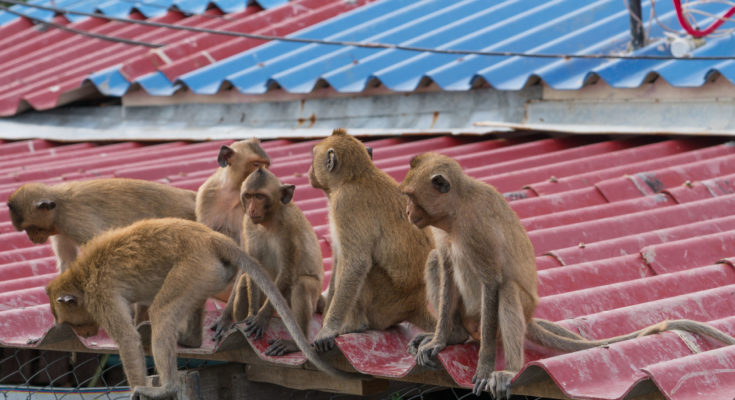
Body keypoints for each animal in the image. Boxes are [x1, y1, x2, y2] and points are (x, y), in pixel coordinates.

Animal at [7, 178, 197, 272]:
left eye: (32, 228)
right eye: (26, 230)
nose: (31, 239)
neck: (58, 207)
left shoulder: (73, 221)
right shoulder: (60, 231)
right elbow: (67, 261)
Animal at [44, 219, 358, 400]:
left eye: (71, 323)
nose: (86, 332)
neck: (81, 276)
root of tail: (210, 238)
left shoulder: (101, 294)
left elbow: (127, 340)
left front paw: (137, 386)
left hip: (195, 264)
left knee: (162, 311)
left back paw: (167, 387)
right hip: (209, 271)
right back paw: (191, 341)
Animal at [211, 167, 324, 354]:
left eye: (260, 196)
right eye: (248, 196)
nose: (251, 209)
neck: (268, 222)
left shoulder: (289, 228)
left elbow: (287, 272)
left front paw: (261, 319)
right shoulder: (247, 224)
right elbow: (250, 268)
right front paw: (237, 317)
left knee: (302, 285)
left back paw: (295, 344)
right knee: (244, 280)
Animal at [306, 129, 436, 354]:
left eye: (314, 155)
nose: (309, 171)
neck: (354, 177)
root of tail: (416, 304)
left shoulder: (345, 204)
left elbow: (356, 263)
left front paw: (328, 328)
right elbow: (339, 258)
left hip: (386, 303)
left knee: (367, 270)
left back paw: (355, 325)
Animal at [400, 152, 735, 398]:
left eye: (412, 198)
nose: (407, 213)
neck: (456, 212)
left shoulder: (477, 228)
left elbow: (492, 282)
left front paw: (483, 367)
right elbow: (445, 265)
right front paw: (440, 340)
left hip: (498, 318)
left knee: (507, 290)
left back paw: (510, 368)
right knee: (435, 261)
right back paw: (456, 335)